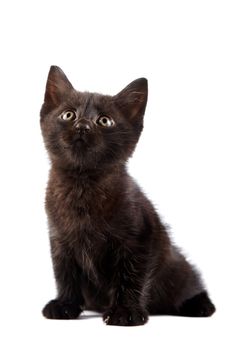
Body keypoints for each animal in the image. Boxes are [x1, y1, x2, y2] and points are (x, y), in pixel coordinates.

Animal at [39, 66, 215, 326]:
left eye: (104, 121)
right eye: (68, 115)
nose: (82, 126)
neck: (83, 184)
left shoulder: (139, 238)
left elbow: (131, 275)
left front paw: (125, 312)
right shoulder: (60, 240)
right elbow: (65, 273)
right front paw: (65, 305)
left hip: (178, 269)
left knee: (190, 283)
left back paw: (200, 305)